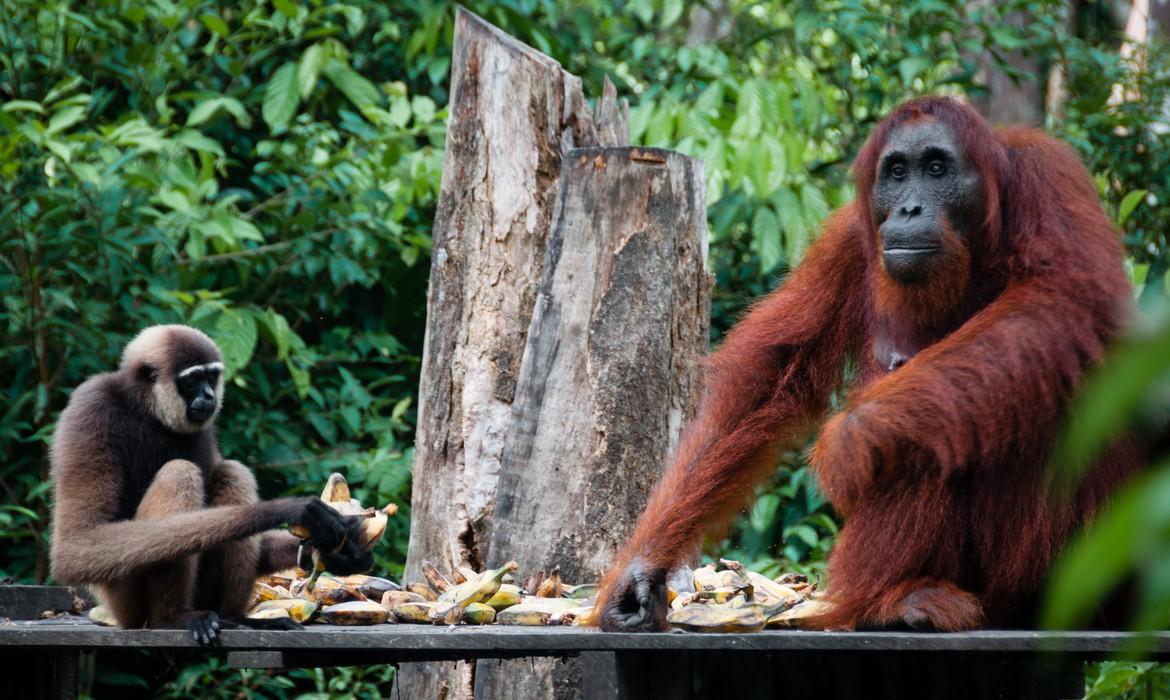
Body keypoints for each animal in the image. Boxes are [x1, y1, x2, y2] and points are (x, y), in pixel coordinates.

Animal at [49, 325, 372, 645]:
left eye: (212, 376)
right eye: (193, 380)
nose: (207, 394)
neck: (147, 409)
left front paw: (339, 552)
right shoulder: (90, 408)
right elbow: (78, 545)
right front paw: (285, 510)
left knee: (233, 471)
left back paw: (237, 618)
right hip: (126, 600)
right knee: (181, 472)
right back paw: (171, 619)